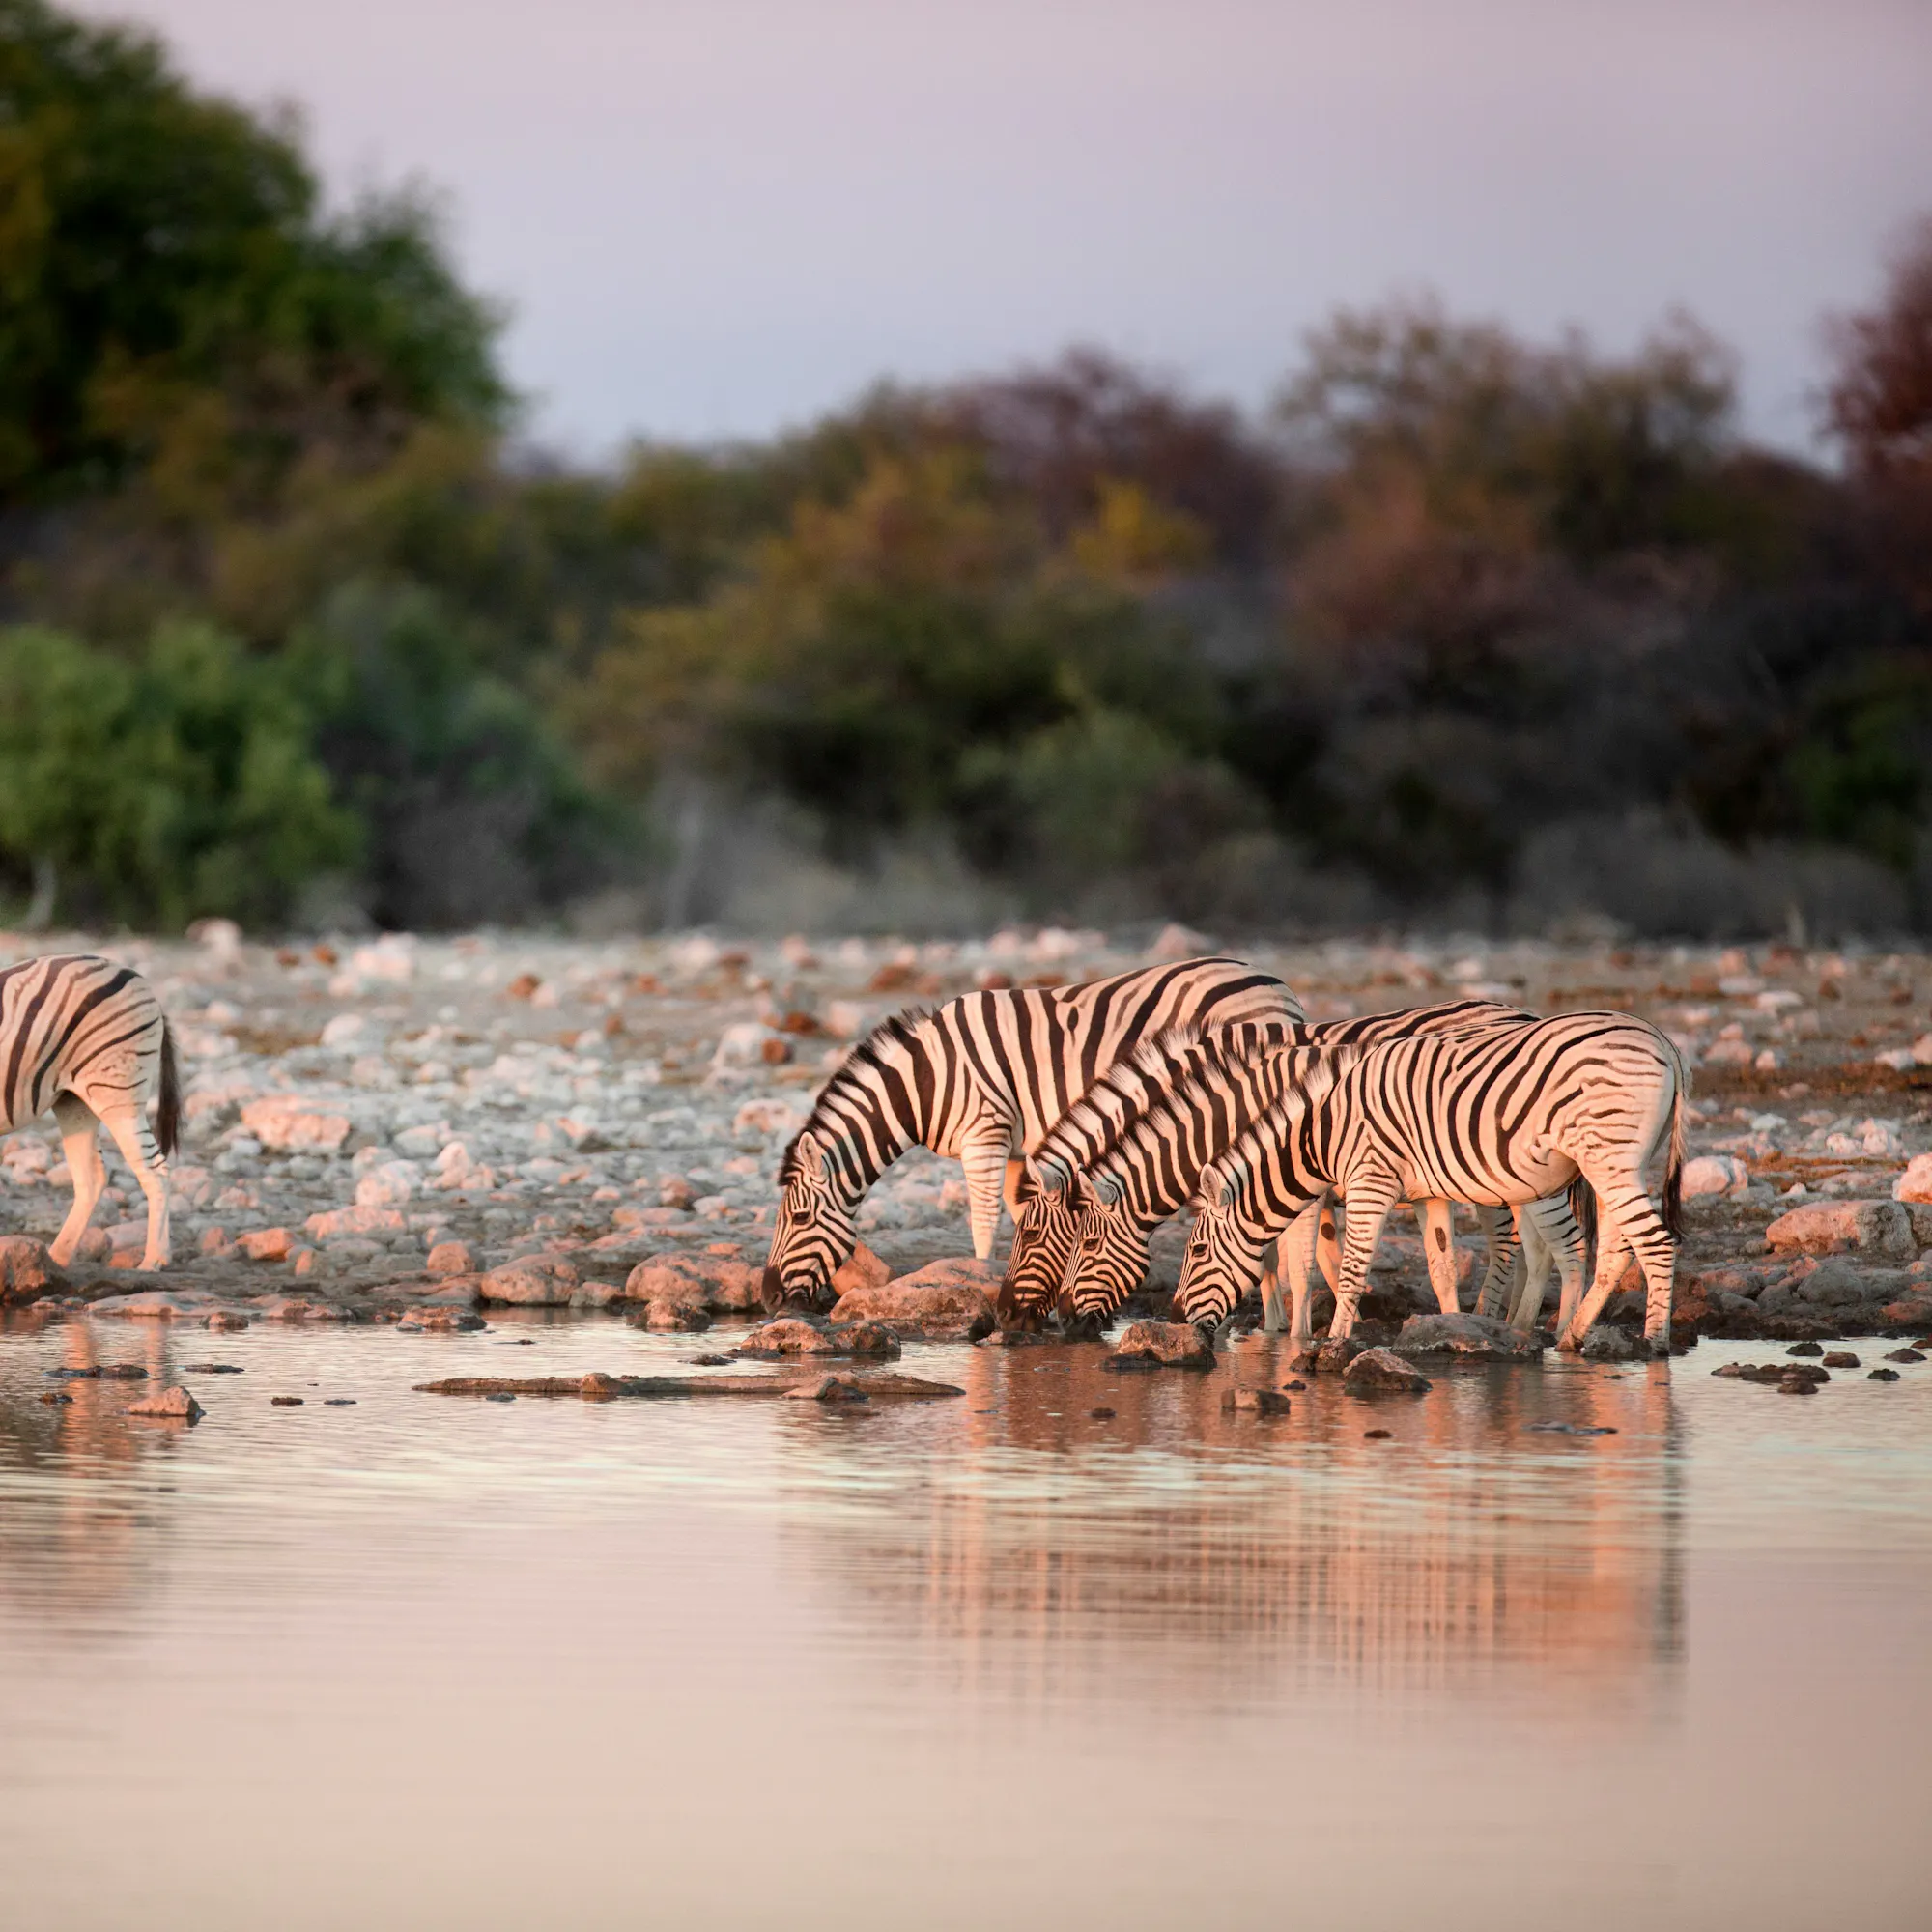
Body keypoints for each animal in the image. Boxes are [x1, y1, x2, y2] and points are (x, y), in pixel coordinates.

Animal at [0, 955, 181, 1272]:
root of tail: (132, 974)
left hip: (118, 1095)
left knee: (155, 1170)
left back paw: (153, 1260)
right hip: (74, 1102)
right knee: (92, 1178)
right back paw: (56, 1258)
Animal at [760, 958, 1302, 1312]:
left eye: (798, 1217)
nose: (767, 1299)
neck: (924, 1081)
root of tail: (1279, 986)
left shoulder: (985, 1132)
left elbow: (982, 1222)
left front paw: (976, 1280)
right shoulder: (1018, 1149)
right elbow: (1025, 1216)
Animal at [999, 999, 1551, 1335]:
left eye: (1034, 1236)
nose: (1004, 1315)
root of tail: (1518, 1011)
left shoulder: (1294, 1179)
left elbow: (1295, 1262)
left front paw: (1294, 1337)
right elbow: (1272, 1257)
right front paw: (1273, 1328)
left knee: (1508, 1246)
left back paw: (1490, 1320)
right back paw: (1512, 1325)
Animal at [1173, 1012, 1687, 1350]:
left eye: (1197, 1250)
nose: (1176, 1315)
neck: (1323, 1135)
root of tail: (1663, 1040)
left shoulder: (1370, 1179)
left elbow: (1351, 1266)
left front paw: (1333, 1343)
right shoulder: (1427, 1195)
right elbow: (1440, 1266)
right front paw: (1454, 1329)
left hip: (1607, 1158)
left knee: (1655, 1243)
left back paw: (1654, 1344)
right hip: (1614, 1165)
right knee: (1618, 1251)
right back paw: (1572, 1338)